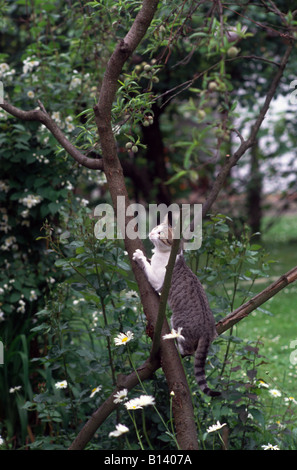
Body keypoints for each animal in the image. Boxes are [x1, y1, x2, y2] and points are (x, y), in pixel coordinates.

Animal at [132, 217, 220, 396]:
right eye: (156, 228)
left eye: (160, 233)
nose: (151, 233)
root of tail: (207, 331)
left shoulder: (158, 282)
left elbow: (147, 265)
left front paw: (139, 256)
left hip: (177, 320)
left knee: (188, 350)